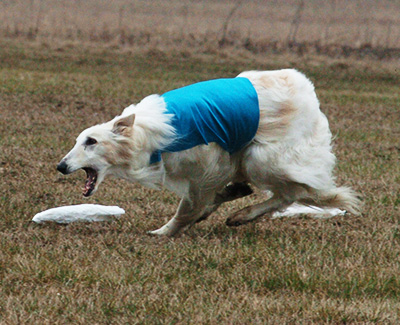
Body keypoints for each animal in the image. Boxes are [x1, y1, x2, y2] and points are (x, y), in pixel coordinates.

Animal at [55, 69, 360, 235]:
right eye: (79, 140)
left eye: (91, 141)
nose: (60, 166)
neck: (145, 134)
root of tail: (308, 92)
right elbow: (205, 200)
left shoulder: (209, 162)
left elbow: (188, 207)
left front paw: (165, 231)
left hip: (262, 157)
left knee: (290, 192)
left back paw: (243, 215)